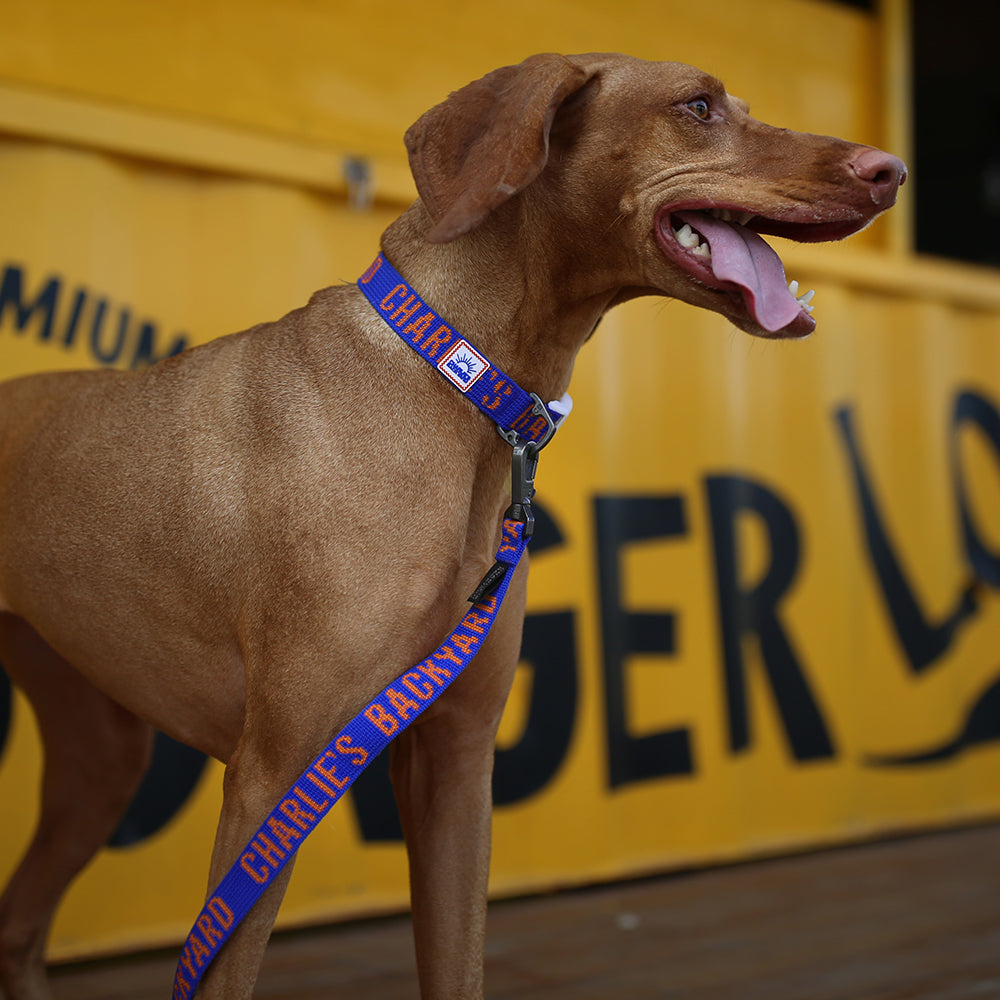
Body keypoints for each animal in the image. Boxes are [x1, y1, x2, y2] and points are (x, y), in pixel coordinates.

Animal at [0, 54, 908, 1000]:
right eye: (696, 105)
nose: (892, 171)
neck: (457, 382)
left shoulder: (456, 765)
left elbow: (456, 963)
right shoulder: (273, 781)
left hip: (100, 763)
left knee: (18, 925)